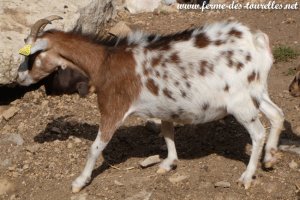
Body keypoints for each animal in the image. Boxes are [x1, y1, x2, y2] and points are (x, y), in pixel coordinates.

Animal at [17, 16, 284, 194]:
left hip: (240, 103)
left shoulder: (113, 108)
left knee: (258, 132)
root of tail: (257, 39)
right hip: (256, 91)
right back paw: (270, 158)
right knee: (277, 114)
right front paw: (169, 163)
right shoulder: (165, 106)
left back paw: (247, 176)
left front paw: (79, 182)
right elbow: (167, 131)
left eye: (32, 55)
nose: (19, 78)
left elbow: (95, 147)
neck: (104, 63)